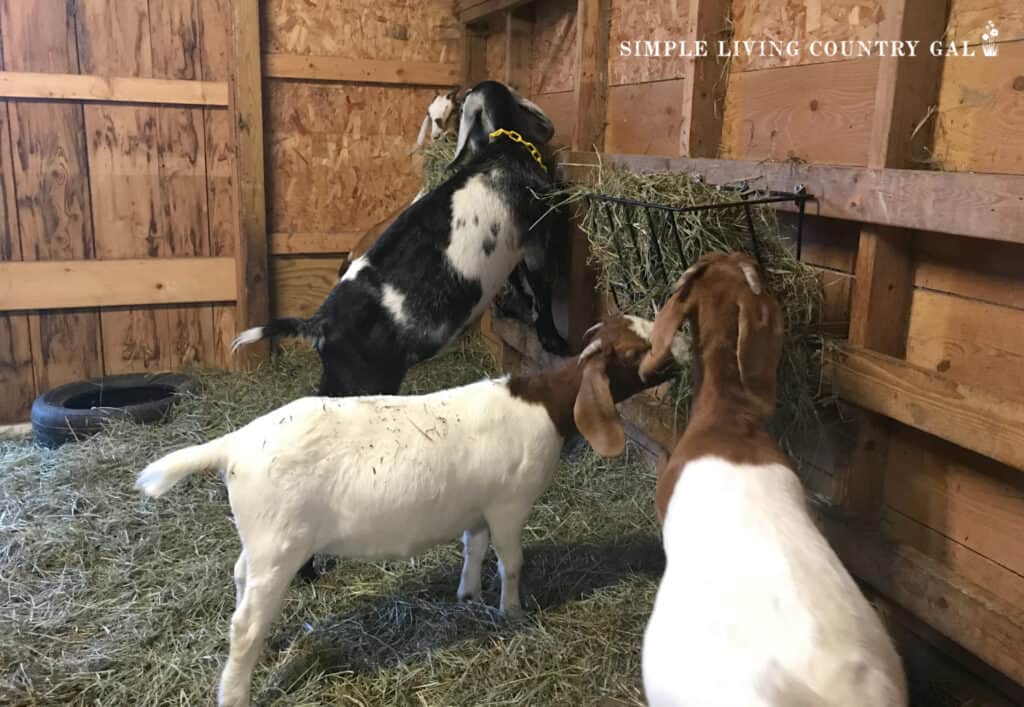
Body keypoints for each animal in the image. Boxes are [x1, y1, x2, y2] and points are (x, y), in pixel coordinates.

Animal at [136, 313, 688, 704]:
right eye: (636, 350)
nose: (679, 356)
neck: (546, 404)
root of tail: (234, 446)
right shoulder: (509, 504)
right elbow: (511, 562)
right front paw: (512, 612)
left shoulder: (478, 508)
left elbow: (473, 548)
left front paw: (467, 596)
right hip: (279, 547)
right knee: (245, 622)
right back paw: (235, 694)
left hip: (262, 539)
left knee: (239, 577)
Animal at [233, 80, 569, 397]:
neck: (503, 150)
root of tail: (319, 324)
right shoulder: (536, 238)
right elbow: (542, 289)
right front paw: (555, 343)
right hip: (364, 379)